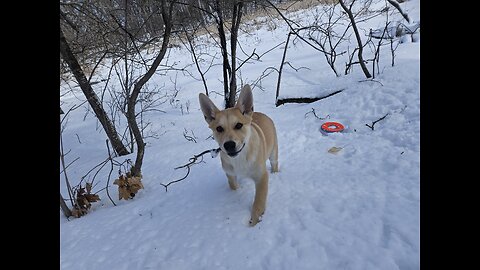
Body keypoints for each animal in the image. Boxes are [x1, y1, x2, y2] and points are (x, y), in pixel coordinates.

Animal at [198, 84, 280, 226]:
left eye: (239, 125)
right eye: (219, 128)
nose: (229, 145)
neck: (240, 158)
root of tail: (261, 114)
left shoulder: (261, 176)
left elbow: (258, 201)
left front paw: (255, 220)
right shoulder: (230, 174)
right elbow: (234, 187)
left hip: (273, 151)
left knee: (275, 163)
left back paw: (275, 172)